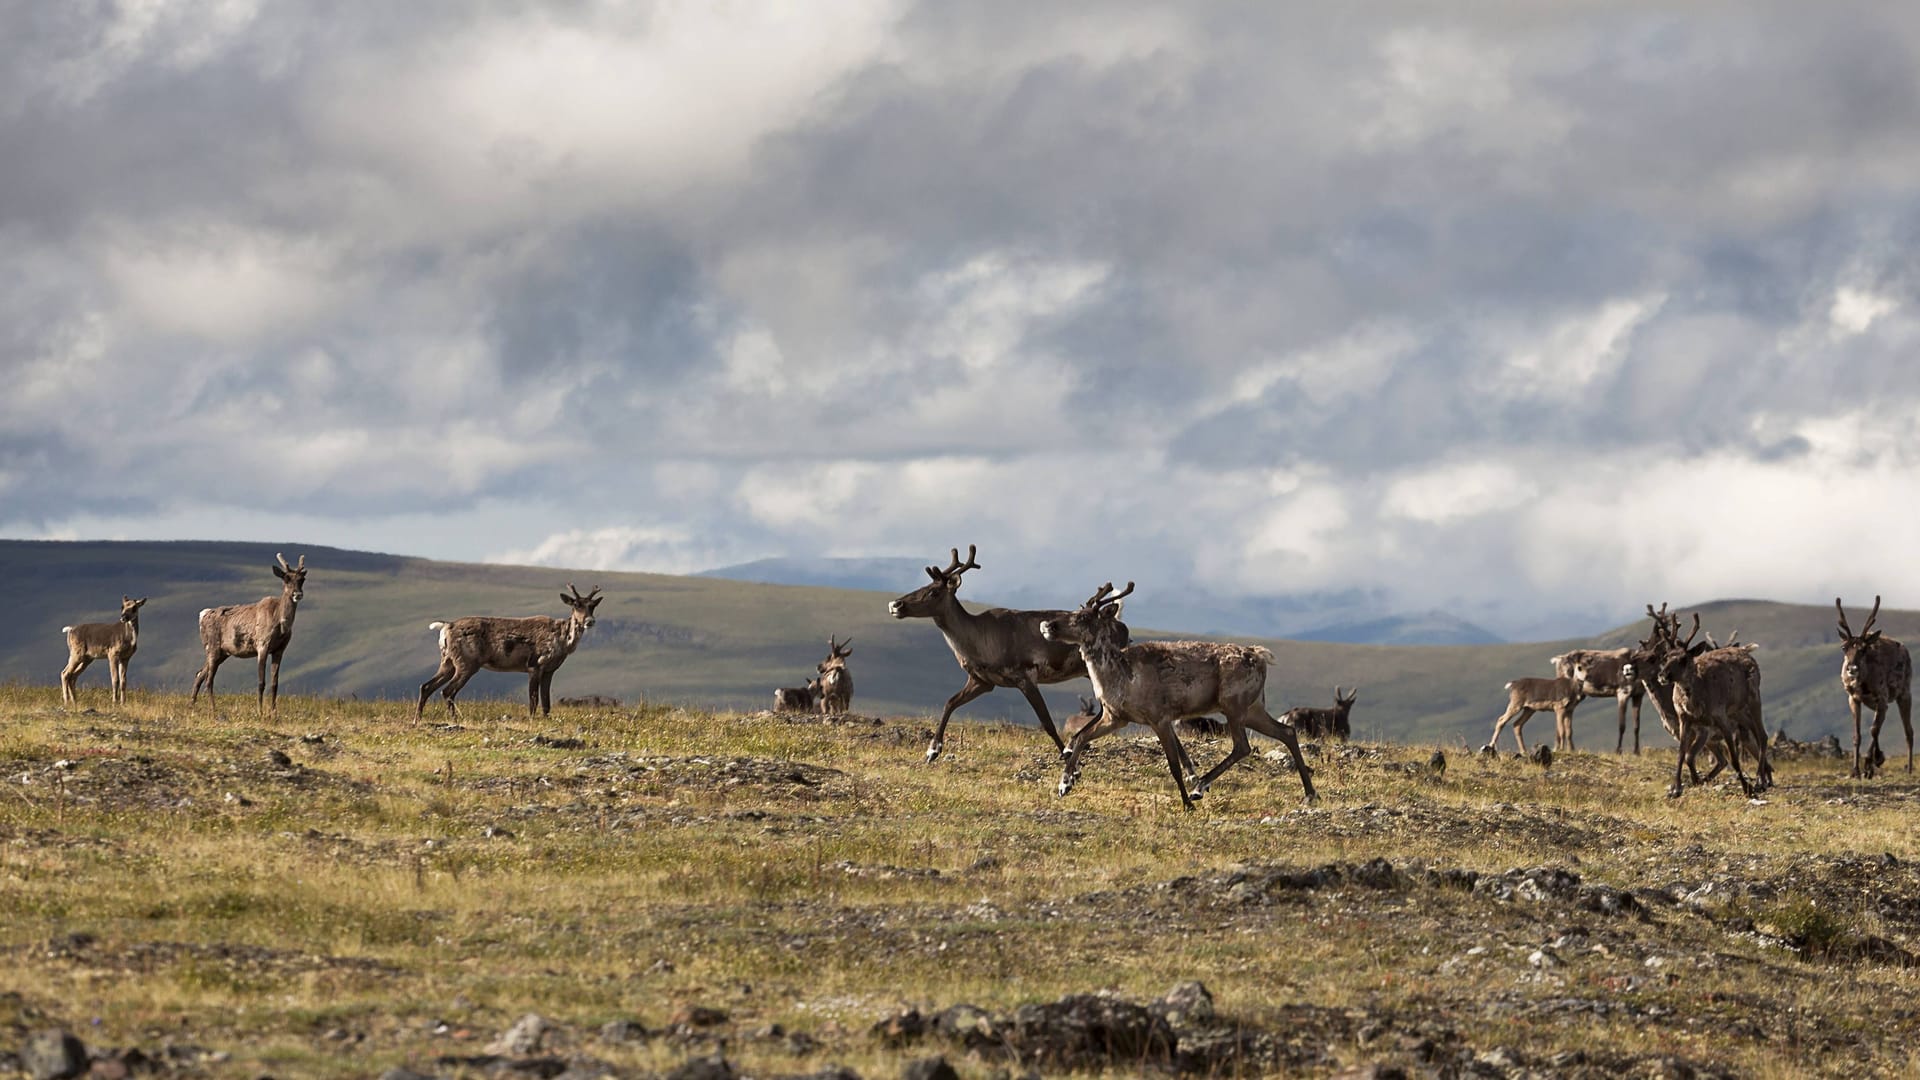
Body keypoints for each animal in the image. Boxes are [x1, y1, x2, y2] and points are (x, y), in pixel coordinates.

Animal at [192, 553, 305, 714]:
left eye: (302, 579)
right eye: (286, 578)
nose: (297, 594)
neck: (281, 622)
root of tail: (202, 615)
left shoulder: (279, 650)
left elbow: (275, 683)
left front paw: (274, 712)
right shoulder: (262, 645)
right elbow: (261, 682)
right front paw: (260, 711)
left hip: (222, 653)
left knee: (199, 674)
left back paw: (192, 706)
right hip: (213, 648)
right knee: (209, 679)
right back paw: (214, 710)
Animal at [418, 584, 599, 718]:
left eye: (592, 606)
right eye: (576, 605)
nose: (590, 621)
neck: (562, 639)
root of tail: (446, 626)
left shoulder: (549, 670)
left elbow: (546, 703)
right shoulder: (535, 666)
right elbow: (534, 700)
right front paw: (532, 720)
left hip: (448, 661)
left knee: (426, 686)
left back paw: (418, 719)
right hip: (466, 663)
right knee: (448, 691)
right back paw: (454, 719)